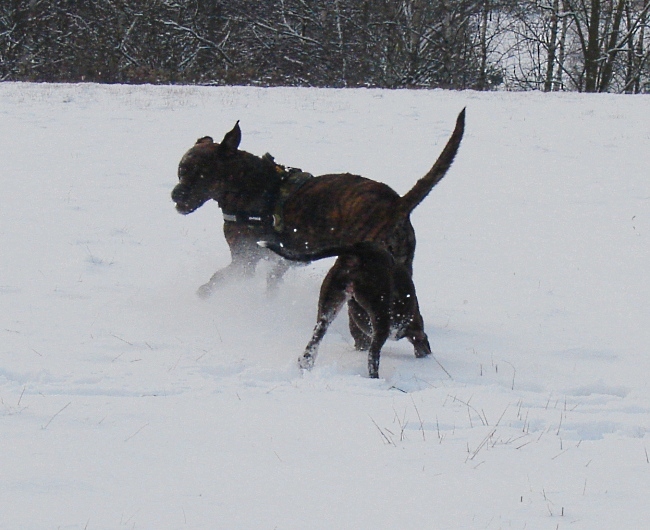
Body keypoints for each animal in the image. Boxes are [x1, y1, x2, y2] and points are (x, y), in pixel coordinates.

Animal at [172, 109, 464, 300]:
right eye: (180, 170)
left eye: (197, 174)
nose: (175, 196)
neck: (245, 182)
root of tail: (397, 205)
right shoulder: (285, 258)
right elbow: (273, 278)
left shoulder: (244, 259)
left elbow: (219, 278)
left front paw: (204, 293)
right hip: (402, 265)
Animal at [258, 239, 430, 376]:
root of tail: (357, 250)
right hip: (380, 315)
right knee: (373, 357)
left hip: (329, 306)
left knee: (315, 338)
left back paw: (306, 363)